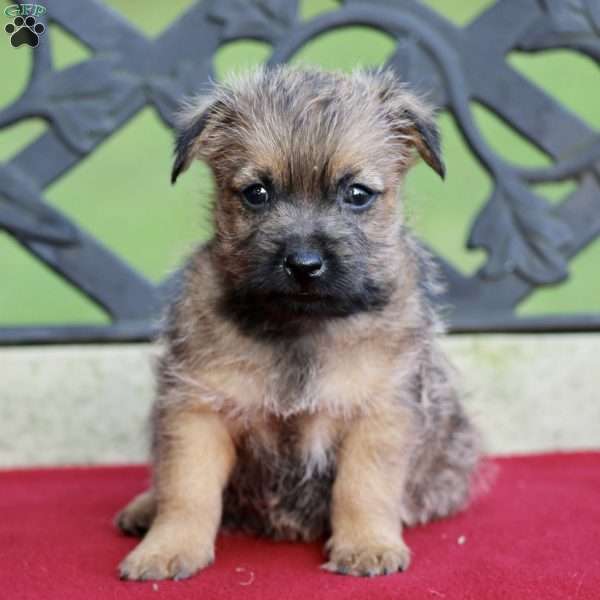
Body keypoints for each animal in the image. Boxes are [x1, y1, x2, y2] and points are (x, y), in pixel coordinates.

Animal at [116, 65, 482, 580]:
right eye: (257, 193)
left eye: (357, 194)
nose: (304, 264)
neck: (297, 326)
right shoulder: (196, 410)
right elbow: (186, 491)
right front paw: (167, 548)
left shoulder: (380, 413)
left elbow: (361, 488)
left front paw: (366, 546)